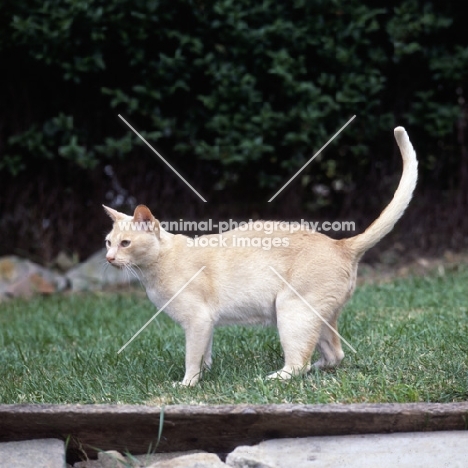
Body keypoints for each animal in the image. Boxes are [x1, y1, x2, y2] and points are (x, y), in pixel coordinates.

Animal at [102, 126, 416, 386]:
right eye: (108, 243)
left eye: (125, 243)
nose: (108, 259)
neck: (154, 270)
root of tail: (341, 244)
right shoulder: (206, 325)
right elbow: (204, 356)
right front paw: (205, 375)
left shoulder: (198, 320)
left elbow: (192, 359)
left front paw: (187, 385)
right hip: (316, 318)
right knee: (334, 355)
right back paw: (315, 369)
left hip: (290, 312)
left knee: (298, 364)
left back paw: (270, 378)